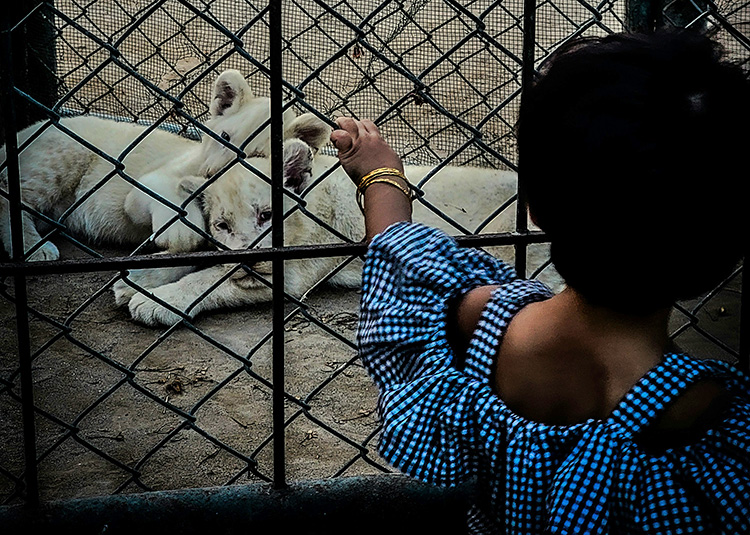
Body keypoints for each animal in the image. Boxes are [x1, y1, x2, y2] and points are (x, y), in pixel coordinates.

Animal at [0, 70, 296, 262]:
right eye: (225, 137)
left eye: (256, 155)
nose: (210, 175)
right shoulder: (141, 190)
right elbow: (170, 198)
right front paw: (177, 234)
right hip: (61, 156)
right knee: (8, 196)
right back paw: (35, 249)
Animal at [113, 113, 560, 326]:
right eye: (221, 225)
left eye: (267, 215)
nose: (249, 260)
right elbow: (208, 260)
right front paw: (137, 279)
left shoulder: (292, 272)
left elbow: (214, 277)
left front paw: (158, 301)